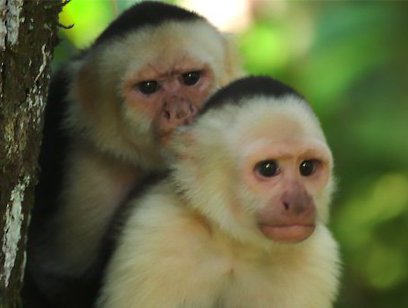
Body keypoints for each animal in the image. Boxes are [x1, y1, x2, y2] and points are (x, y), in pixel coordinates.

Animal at [98, 75, 342, 308]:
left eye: (307, 167)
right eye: (268, 168)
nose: (299, 203)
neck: (234, 247)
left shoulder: (318, 261)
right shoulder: (155, 232)